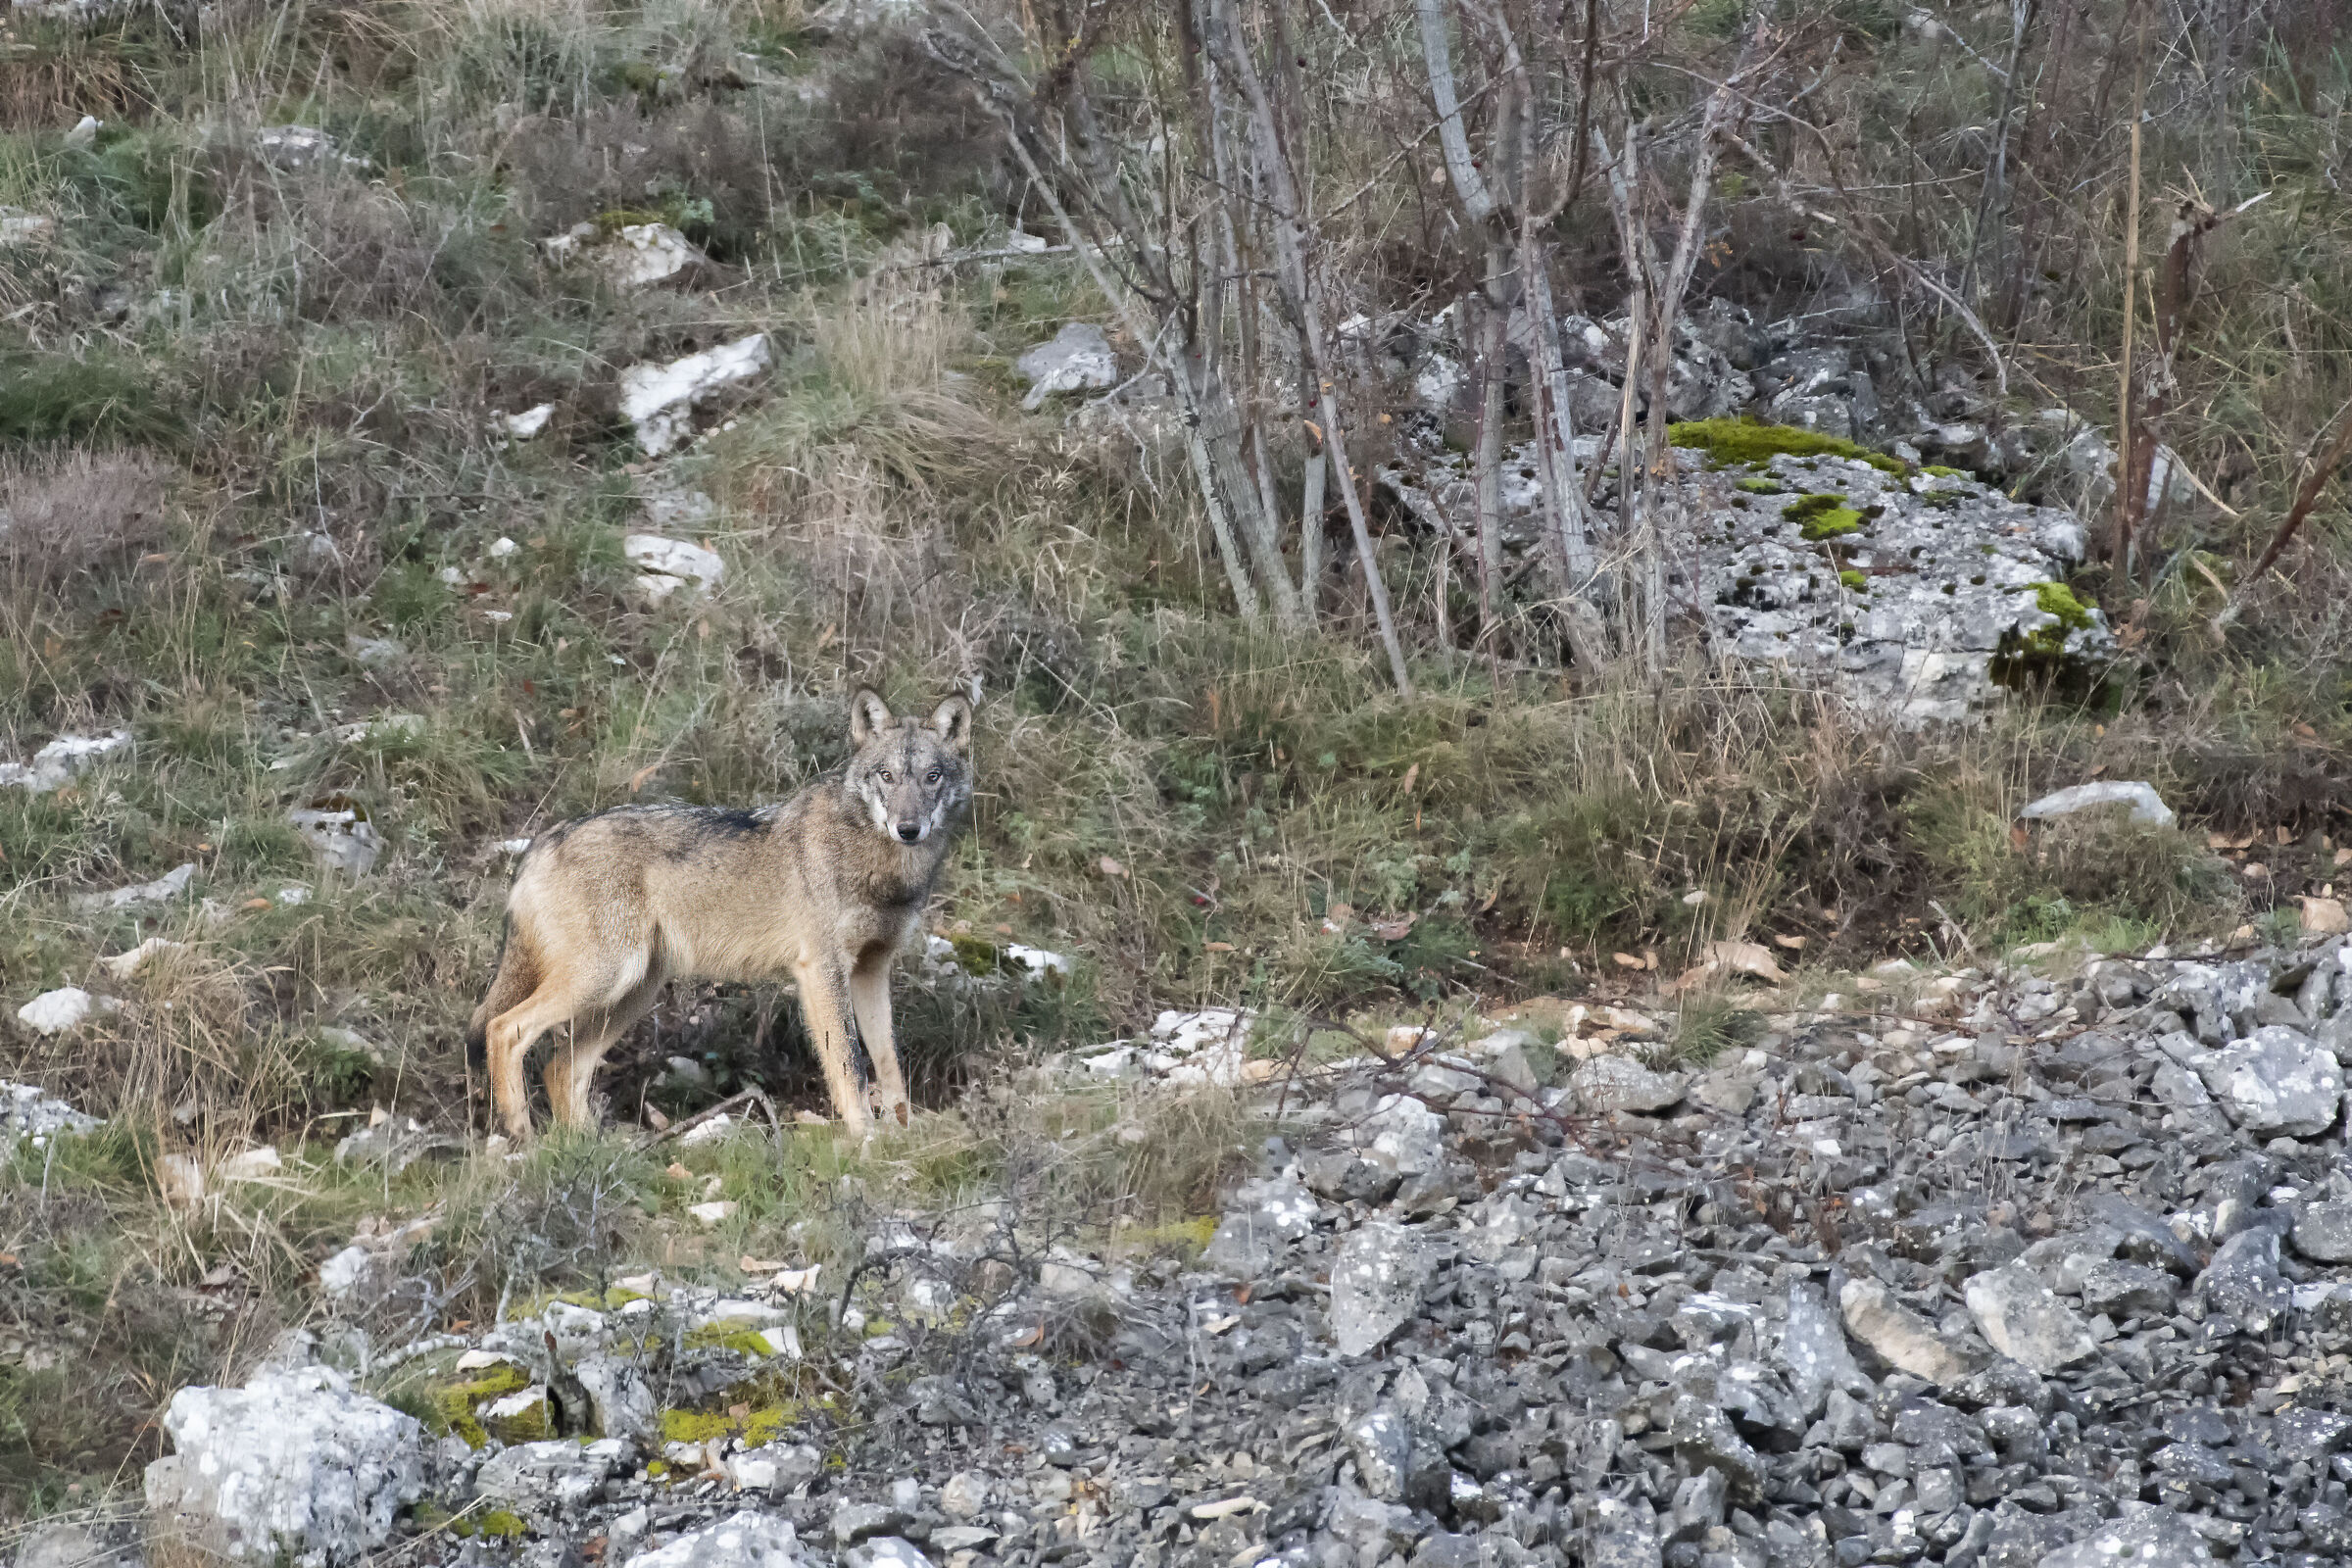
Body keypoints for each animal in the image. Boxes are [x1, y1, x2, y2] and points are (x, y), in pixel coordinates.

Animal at [466, 688, 974, 1142]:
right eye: (886, 776)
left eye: (932, 777)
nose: (908, 829)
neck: (882, 866)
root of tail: (539, 844)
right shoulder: (822, 970)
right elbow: (850, 1063)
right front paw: (865, 1140)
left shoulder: (872, 969)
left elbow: (889, 1064)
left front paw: (904, 1138)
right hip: (606, 977)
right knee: (501, 1030)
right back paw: (523, 1139)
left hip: (631, 992)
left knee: (559, 1067)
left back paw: (593, 1151)